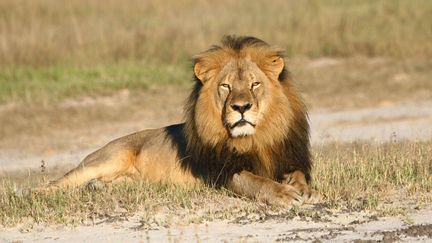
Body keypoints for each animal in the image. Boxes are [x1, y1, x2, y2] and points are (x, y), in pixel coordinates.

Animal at [45, 36, 318, 206]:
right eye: (226, 86)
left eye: (255, 84)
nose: (241, 107)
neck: (255, 138)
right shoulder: (222, 173)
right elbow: (256, 181)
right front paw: (284, 194)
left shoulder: (287, 158)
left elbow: (299, 175)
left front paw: (303, 189)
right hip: (106, 159)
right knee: (53, 184)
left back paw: (97, 187)